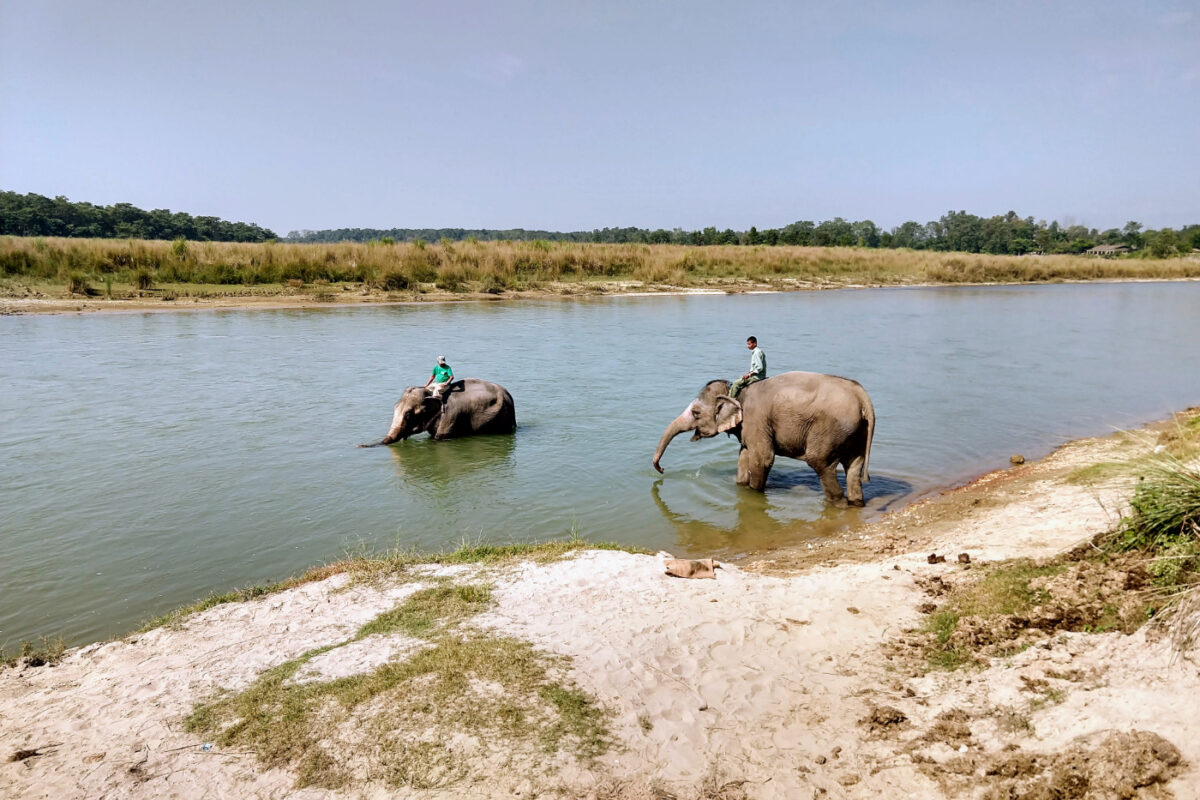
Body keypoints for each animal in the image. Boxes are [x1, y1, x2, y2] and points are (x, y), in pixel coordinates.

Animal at [364, 379, 516, 448]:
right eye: (395, 408)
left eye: (409, 415)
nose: (360, 446)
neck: (431, 393)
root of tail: (508, 394)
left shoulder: (451, 416)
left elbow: (439, 439)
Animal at [652, 371, 878, 506]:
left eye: (696, 413)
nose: (662, 469)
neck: (735, 391)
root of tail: (862, 396)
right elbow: (744, 455)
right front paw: (741, 485)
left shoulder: (756, 419)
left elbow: (763, 458)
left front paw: (754, 493)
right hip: (857, 431)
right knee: (854, 466)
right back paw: (856, 503)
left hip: (831, 429)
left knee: (821, 462)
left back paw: (837, 503)